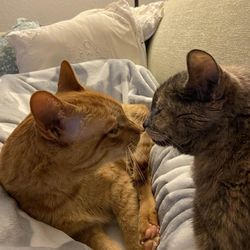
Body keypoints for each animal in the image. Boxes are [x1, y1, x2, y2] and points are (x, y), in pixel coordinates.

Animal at [0, 61, 159, 250]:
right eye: (113, 130)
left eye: (123, 117)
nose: (139, 129)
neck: (69, 190)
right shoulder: (82, 230)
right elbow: (105, 246)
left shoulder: (121, 188)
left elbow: (130, 225)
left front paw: (139, 240)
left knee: (143, 180)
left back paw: (148, 224)